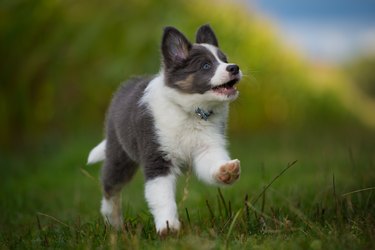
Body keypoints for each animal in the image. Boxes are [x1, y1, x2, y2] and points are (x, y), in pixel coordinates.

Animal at [86, 24, 242, 235]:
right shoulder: (157, 158)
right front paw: (168, 227)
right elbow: (162, 196)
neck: (190, 112)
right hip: (119, 154)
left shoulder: (206, 147)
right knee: (110, 186)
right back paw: (114, 223)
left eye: (224, 60)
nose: (234, 67)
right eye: (206, 66)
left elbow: (212, 163)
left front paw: (226, 171)